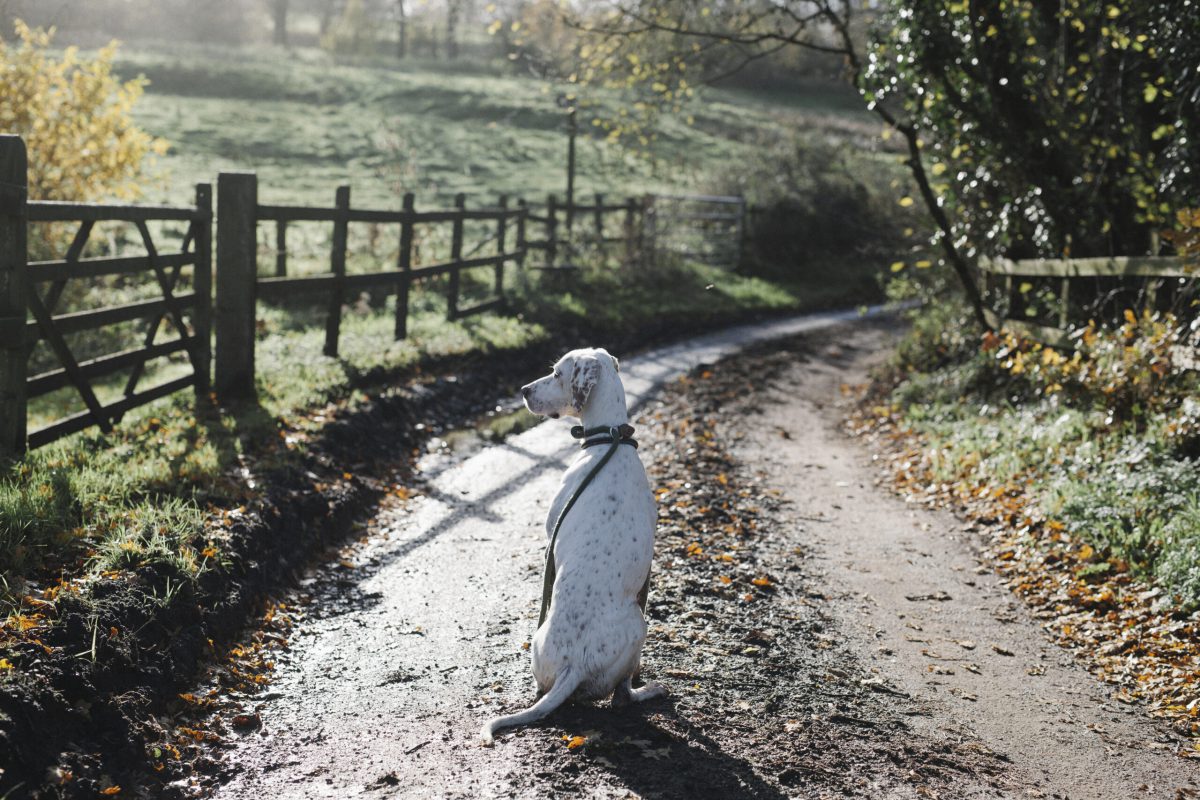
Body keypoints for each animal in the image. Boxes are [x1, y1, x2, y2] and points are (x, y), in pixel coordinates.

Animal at [477, 347, 667, 748]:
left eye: (557, 374)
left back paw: (647, 691)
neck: (608, 439)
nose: (524, 390)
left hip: (635, 627)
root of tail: (574, 664)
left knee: (622, 697)